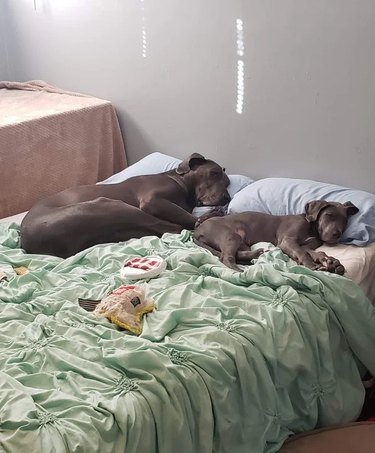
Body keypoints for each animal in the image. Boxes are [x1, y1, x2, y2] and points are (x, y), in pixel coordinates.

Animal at [22, 153, 231, 256]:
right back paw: (209, 217)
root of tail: (27, 241)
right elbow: (184, 217)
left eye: (228, 182)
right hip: (111, 205)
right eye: (214, 173)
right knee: (176, 227)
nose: (227, 198)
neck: (181, 183)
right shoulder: (151, 201)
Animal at [195, 200, 360, 272]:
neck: (311, 229)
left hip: (242, 241)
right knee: (226, 257)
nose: (337, 234)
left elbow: (311, 251)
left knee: (236, 253)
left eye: (345, 221)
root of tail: (197, 230)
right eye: (329, 215)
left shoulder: (307, 244)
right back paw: (240, 269)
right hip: (230, 235)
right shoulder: (287, 241)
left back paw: (255, 254)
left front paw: (328, 260)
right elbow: (303, 253)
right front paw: (312, 265)